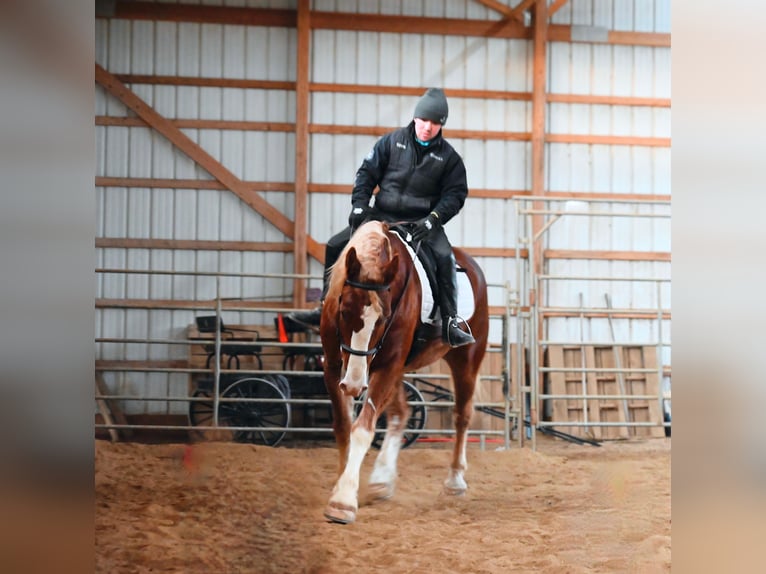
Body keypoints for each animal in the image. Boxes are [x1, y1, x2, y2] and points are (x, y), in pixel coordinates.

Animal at [320, 220, 492, 528]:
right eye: (342, 309)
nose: (354, 384)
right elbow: (343, 426)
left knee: (461, 415)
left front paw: (343, 501)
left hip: (465, 359)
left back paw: (455, 481)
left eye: (384, 318)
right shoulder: (333, 365)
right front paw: (342, 484)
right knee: (402, 412)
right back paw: (381, 480)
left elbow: (362, 429)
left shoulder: (387, 365)